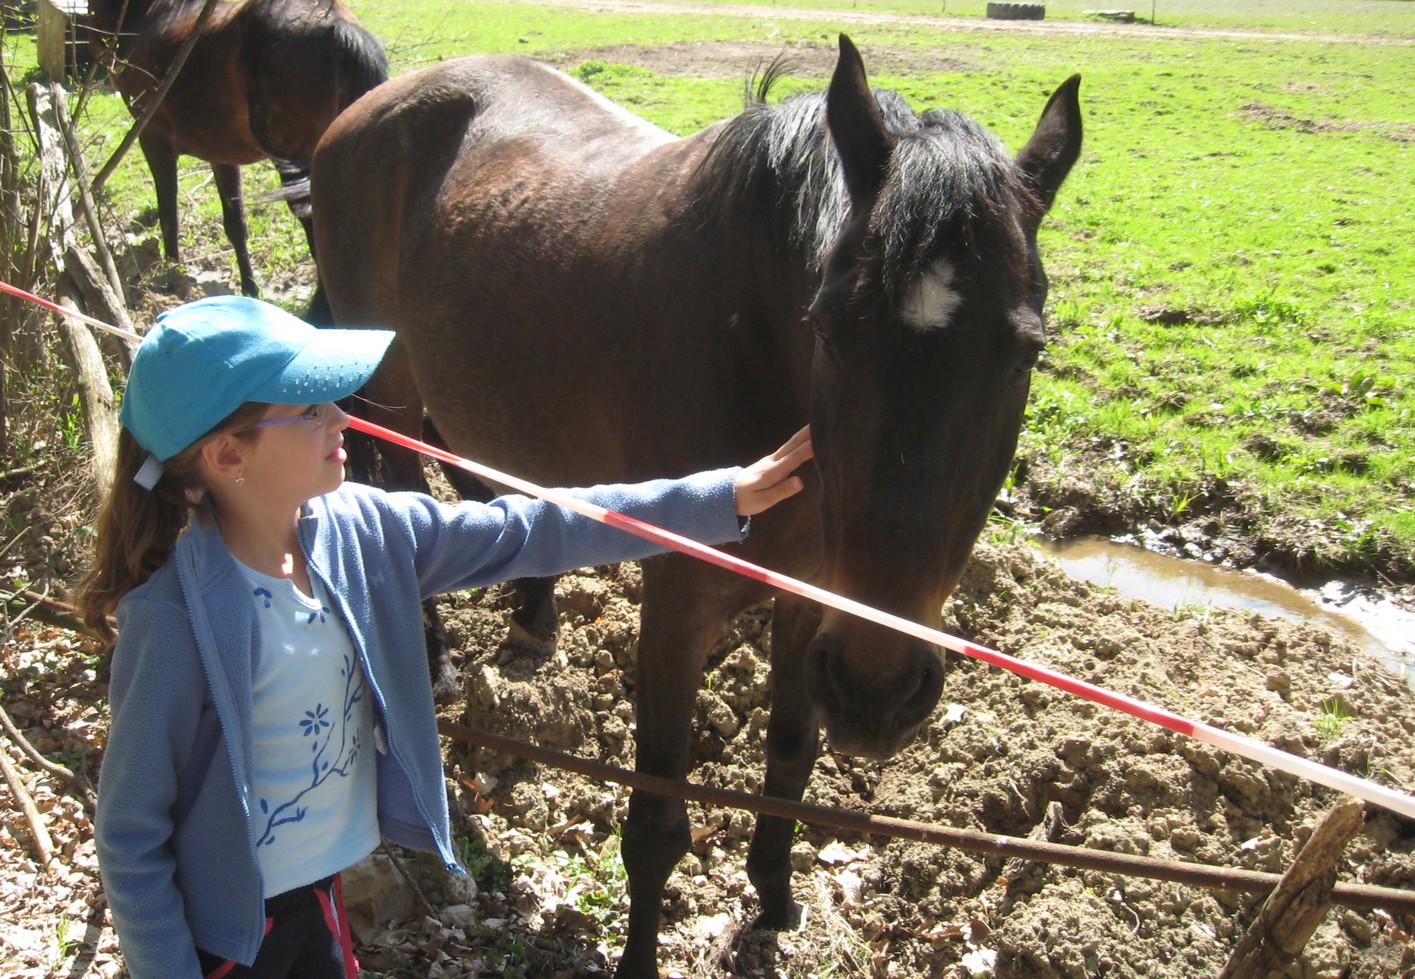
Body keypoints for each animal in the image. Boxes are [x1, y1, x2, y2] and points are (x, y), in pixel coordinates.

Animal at [88, 0, 387, 294]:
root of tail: (336, 25)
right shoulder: (221, 156)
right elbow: (235, 225)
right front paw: (249, 287)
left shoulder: (154, 139)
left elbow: (168, 214)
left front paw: (172, 274)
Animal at [309, 34, 1081, 973]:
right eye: (827, 329)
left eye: (1024, 353)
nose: (877, 689)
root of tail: (365, 110)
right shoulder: (678, 602)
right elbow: (655, 821)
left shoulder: (811, 597)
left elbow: (789, 755)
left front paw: (775, 901)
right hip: (389, 388)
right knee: (403, 486)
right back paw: (431, 654)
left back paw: (533, 617)